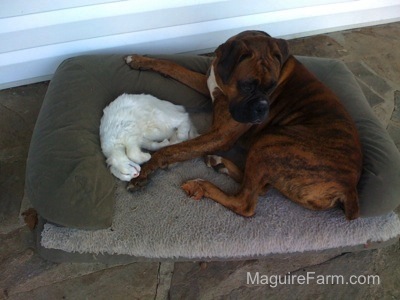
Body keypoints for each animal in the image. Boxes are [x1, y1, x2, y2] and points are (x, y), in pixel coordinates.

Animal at [125, 30, 362, 220]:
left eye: (272, 87)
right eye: (248, 86)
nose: (263, 109)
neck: (224, 82)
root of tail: (349, 187)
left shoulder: (220, 135)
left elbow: (172, 150)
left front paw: (145, 171)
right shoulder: (207, 83)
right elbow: (173, 66)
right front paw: (139, 59)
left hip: (270, 143)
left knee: (246, 202)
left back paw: (201, 185)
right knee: (259, 186)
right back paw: (219, 163)